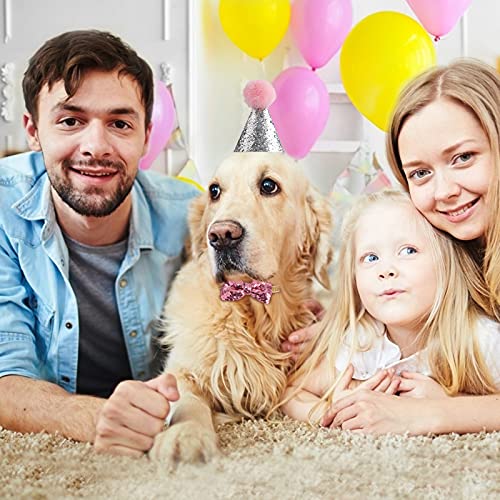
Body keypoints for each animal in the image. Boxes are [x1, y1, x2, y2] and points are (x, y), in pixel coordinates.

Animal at [150, 151, 334, 460]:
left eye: (269, 185)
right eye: (214, 191)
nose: (221, 235)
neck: (255, 312)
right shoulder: (181, 370)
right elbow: (188, 401)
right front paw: (185, 436)